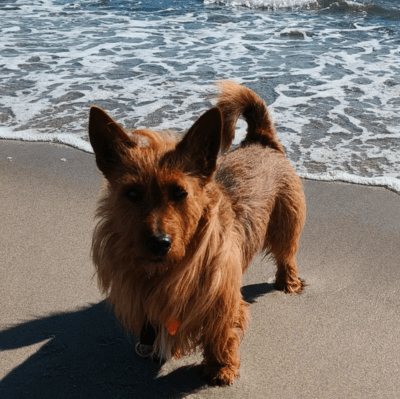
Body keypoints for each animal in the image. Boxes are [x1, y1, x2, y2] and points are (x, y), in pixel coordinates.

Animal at [88, 82, 306, 388]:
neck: (166, 271)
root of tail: (260, 141)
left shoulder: (222, 303)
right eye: (132, 193)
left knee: (287, 255)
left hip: (287, 224)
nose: (159, 243)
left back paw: (288, 282)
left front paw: (221, 368)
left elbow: (221, 335)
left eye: (180, 192)